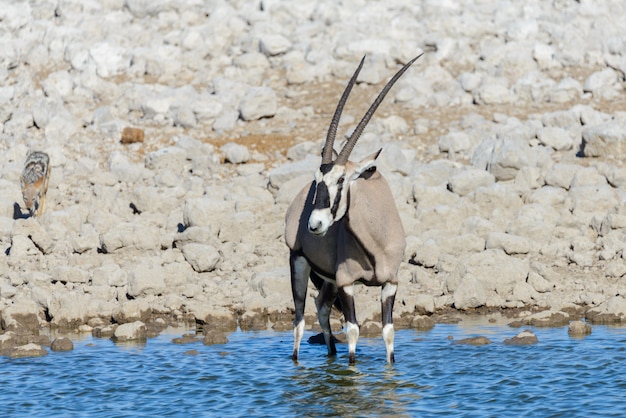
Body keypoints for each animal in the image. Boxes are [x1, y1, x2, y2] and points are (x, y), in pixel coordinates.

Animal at [282, 54, 420, 362]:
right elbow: (354, 331)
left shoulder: (390, 282)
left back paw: (330, 355)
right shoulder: (346, 283)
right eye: (317, 180)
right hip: (299, 262)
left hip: (328, 281)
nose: (314, 225)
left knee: (321, 307)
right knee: (299, 320)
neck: (375, 242)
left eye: (341, 180)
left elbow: (388, 332)